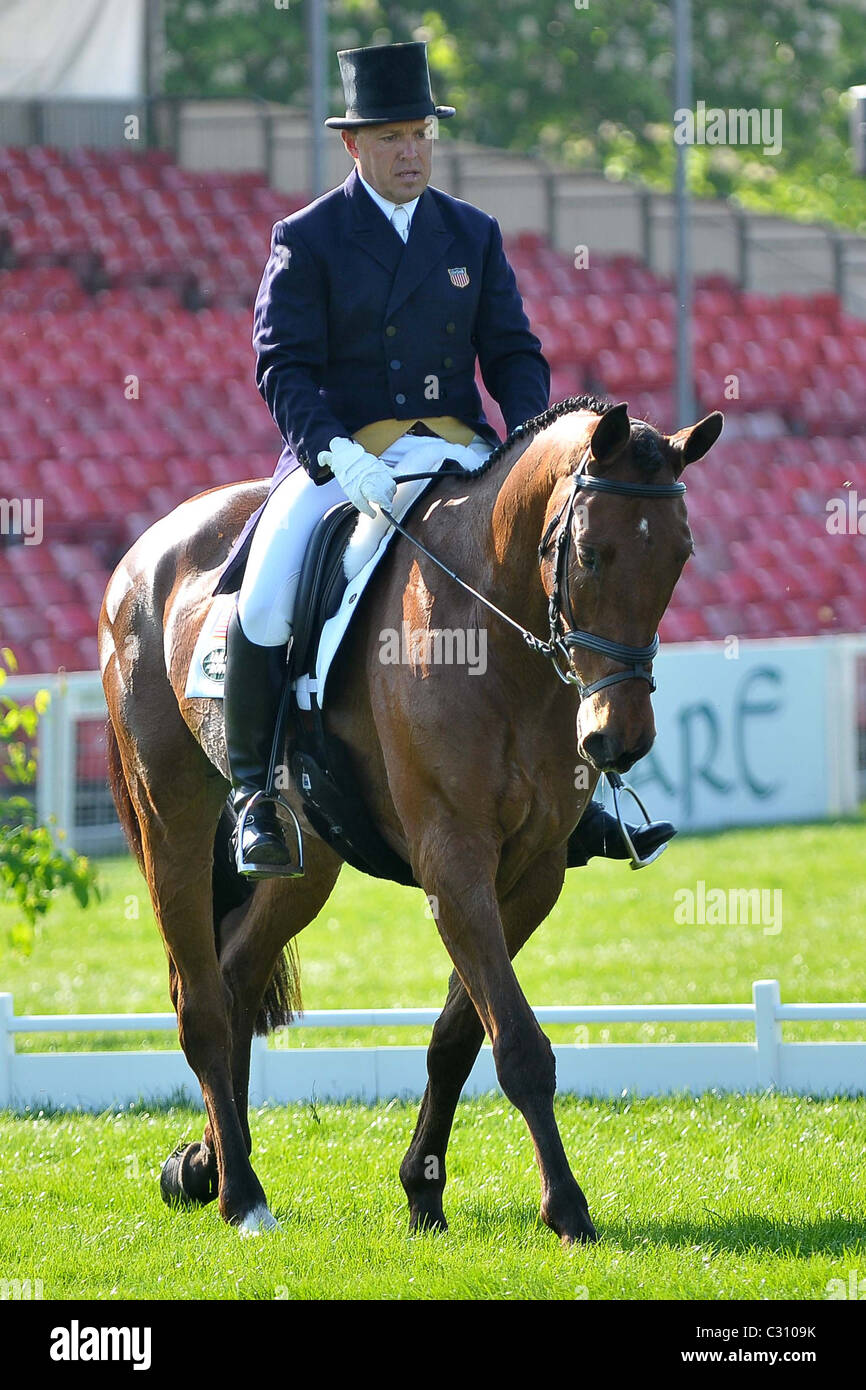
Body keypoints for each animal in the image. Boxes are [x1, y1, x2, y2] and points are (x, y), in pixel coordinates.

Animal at [100, 397, 722, 1245]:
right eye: (592, 555)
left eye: (680, 557)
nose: (618, 739)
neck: (493, 631)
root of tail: (145, 551)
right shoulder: (452, 858)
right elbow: (518, 1042)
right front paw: (568, 1209)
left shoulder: (532, 872)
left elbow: (459, 1034)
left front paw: (422, 1191)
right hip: (172, 818)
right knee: (199, 1003)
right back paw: (242, 1197)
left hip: (309, 858)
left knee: (236, 979)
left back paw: (208, 1164)